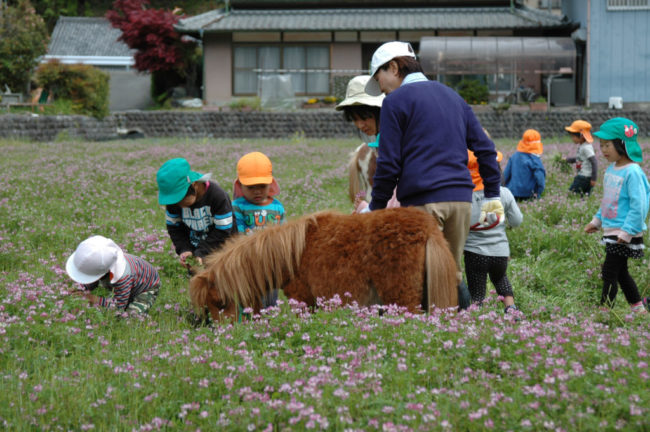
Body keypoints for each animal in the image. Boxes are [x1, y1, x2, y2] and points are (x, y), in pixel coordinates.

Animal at [190, 208, 458, 322]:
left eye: (221, 303)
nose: (224, 335)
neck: (291, 254)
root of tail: (428, 229)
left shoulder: (304, 301)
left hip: (402, 299)